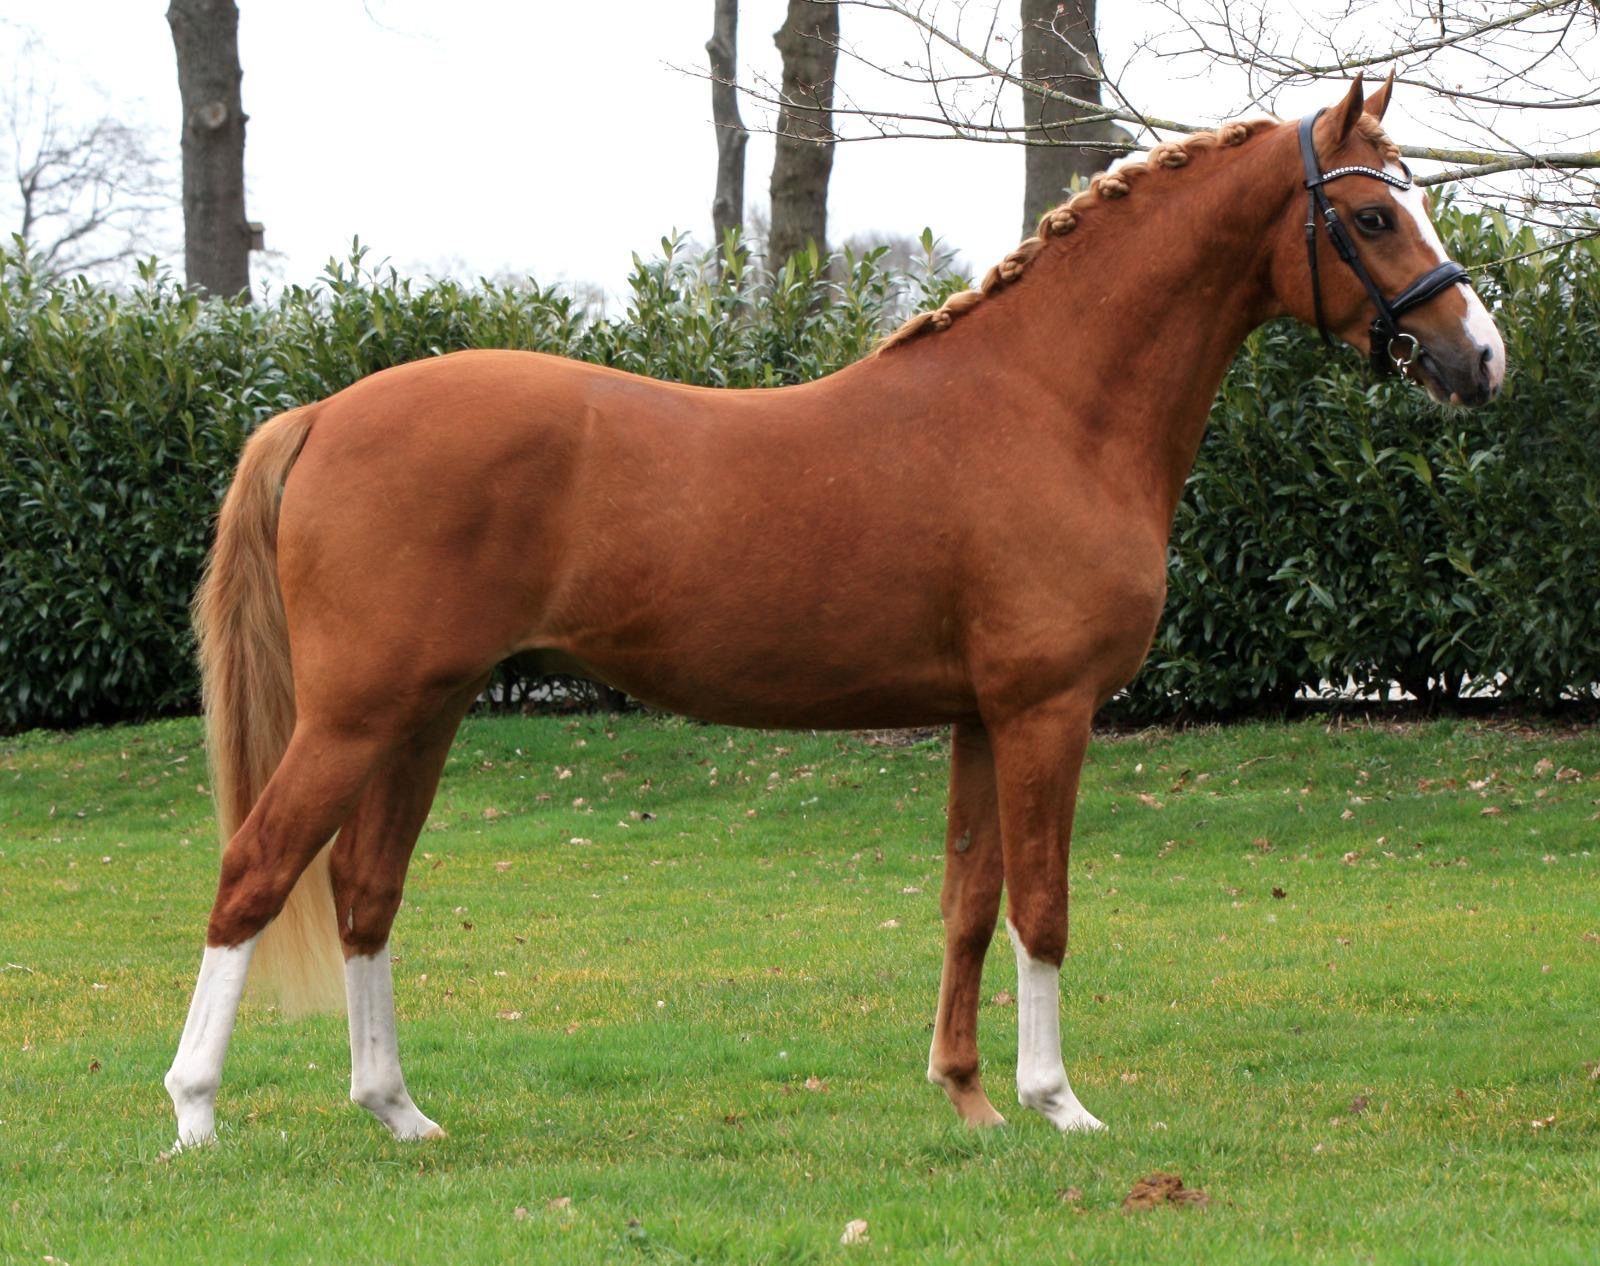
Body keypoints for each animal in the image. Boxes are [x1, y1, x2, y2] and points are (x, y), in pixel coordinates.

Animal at [165, 75, 1504, 1149]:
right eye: (1373, 215)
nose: (1480, 356)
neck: (1047, 405)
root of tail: (321, 415)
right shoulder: (1047, 711)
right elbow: (1043, 907)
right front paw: (1059, 1104)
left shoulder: (979, 718)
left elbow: (969, 904)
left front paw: (969, 1098)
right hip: (357, 713)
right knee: (254, 872)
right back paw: (195, 1116)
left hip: (425, 711)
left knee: (365, 891)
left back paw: (397, 1112)